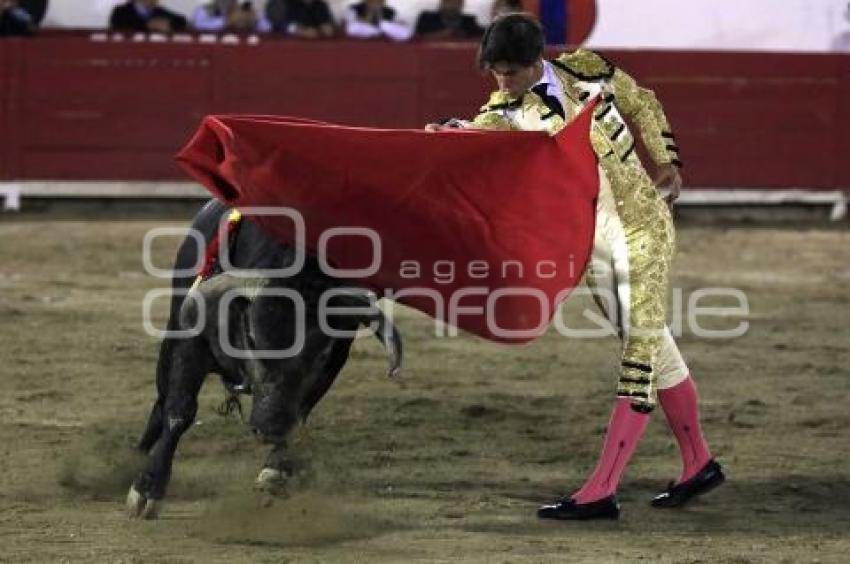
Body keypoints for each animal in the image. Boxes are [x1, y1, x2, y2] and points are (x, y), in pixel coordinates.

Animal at [126, 202, 404, 520]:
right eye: (252, 336)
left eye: (321, 353)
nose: (270, 427)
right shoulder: (190, 341)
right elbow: (179, 411)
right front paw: (147, 488)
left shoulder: (333, 362)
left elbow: (300, 411)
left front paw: (276, 470)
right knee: (161, 402)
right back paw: (135, 458)